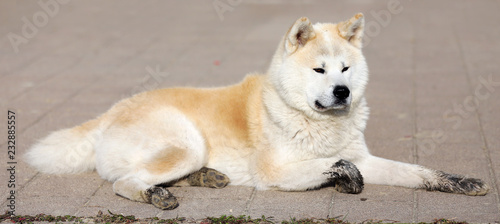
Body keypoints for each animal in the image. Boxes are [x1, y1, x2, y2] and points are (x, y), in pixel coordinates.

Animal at [26, 14, 488, 210]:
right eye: (319, 69)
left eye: (345, 68)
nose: (341, 92)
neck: (312, 120)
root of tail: (107, 113)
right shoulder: (274, 171)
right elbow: (339, 165)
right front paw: (343, 179)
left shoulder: (367, 157)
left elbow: (419, 172)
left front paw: (462, 181)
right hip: (186, 144)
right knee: (124, 183)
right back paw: (156, 195)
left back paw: (206, 178)